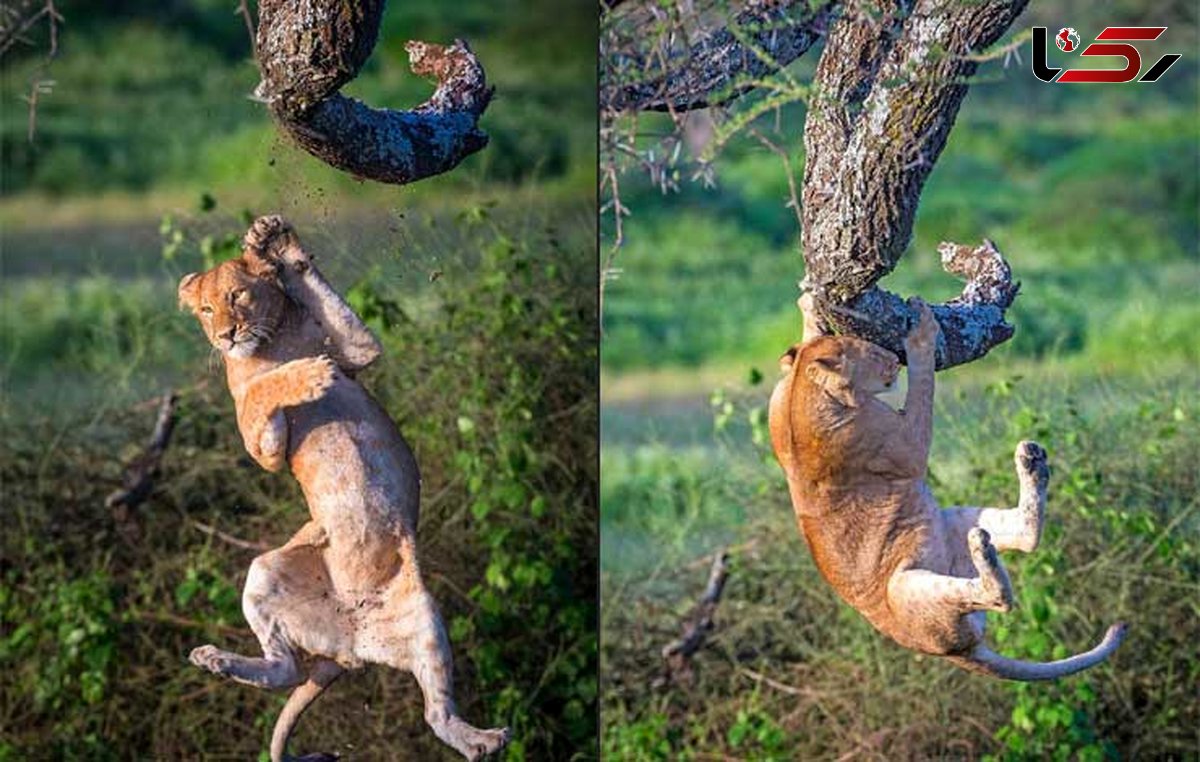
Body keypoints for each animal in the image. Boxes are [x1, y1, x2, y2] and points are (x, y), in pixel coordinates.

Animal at [176, 216, 506, 762]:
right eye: (205, 309)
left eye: (237, 295)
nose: (226, 335)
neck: (271, 342)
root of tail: (348, 647)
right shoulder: (261, 447)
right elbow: (262, 391)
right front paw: (307, 374)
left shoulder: (357, 350)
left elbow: (318, 301)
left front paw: (272, 238)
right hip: (266, 572)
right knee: (285, 669)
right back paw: (213, 659)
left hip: (425, 620)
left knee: (433, 713)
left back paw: (482, 740)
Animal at [768, 296, 1123, 681]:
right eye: (875, 353)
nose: (893, 359)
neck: (800, 390)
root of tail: (958, 650)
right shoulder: (905, 445)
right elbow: (922, 386)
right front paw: (921, 333)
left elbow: (809, 338)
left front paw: (808, 305)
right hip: (906, 587)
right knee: (999, 597)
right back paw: (989, 543)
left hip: (955, 519)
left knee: (1025, 538)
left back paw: (1030, 466)